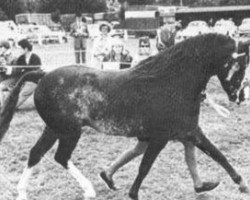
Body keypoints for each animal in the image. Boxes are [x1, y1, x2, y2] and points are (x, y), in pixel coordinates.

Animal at [0, 33, 250, 199]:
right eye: (240, 66)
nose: (239, 97)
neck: (173, 82)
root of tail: (42, 75)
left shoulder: (188, 131)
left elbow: (215, 155)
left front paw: (238, 184)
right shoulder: (162, 137)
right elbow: (145, 167)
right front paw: (132, 193)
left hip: (54, 129)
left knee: (36, 153)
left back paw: (22, 192)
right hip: (69, 132)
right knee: (60, 157)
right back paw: (89, 189)